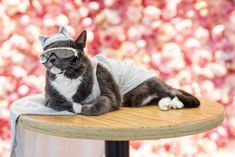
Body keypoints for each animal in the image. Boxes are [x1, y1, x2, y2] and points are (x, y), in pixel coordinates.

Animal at [39, 27, 199, 115]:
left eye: (63, 52)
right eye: (46, 54)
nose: (51, 59)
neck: (66, 77)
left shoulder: (109, 89)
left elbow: (99, 104)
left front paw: (83, 107)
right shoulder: (48, 99)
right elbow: (56, 104)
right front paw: (75, 106)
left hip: (155, 85)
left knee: (175, 92)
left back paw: (182, 103)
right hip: (137, 99)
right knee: (160, 97)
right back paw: (168, 104)